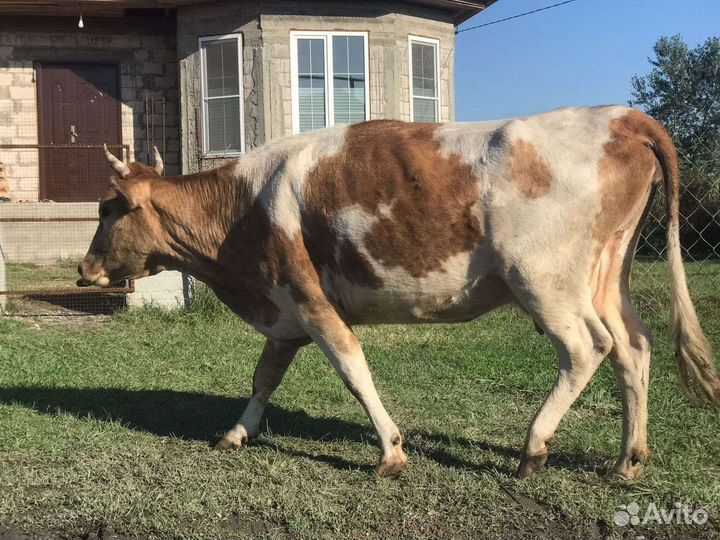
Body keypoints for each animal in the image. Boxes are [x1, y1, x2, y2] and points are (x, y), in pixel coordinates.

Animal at [79, 106, 720, 479]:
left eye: (108, 209)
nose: (85, 269)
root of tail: (620, 116)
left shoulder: (309, 299)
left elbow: (352, 369)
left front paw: (390, 450)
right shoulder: (284, 310)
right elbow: (264, 377)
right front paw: (237, 432)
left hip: (545, 280)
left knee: (589, 348)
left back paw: (534, 446)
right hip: (608, 274)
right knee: (634, 348)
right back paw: (627, 461)